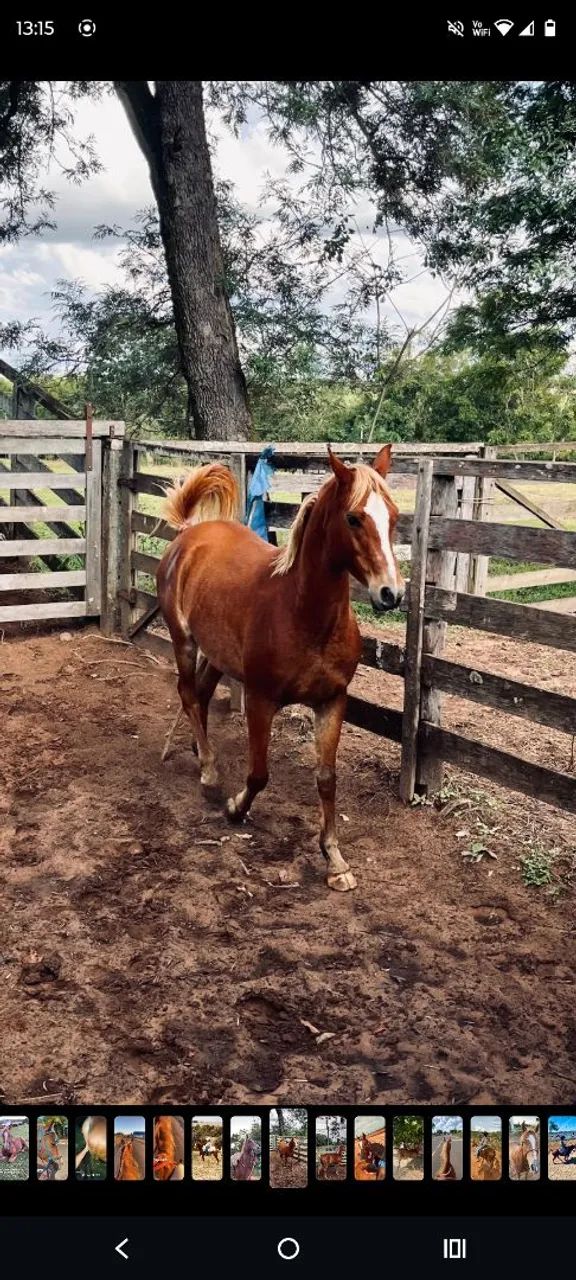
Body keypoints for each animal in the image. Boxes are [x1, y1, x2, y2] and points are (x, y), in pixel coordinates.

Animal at [157, 444, 403, 894]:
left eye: (393, 515)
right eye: (354, 518)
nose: (390, 594)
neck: (303, 615)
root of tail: (188, 534)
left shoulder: (332, 701)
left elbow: (326, 777)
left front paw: (334, 860)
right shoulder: (261, 700)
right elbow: (259, 773)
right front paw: (235, 809)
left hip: (216, 655)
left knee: (200, 695)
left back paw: (203, 755)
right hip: (184, 641)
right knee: (187, 694)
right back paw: (210, 777)